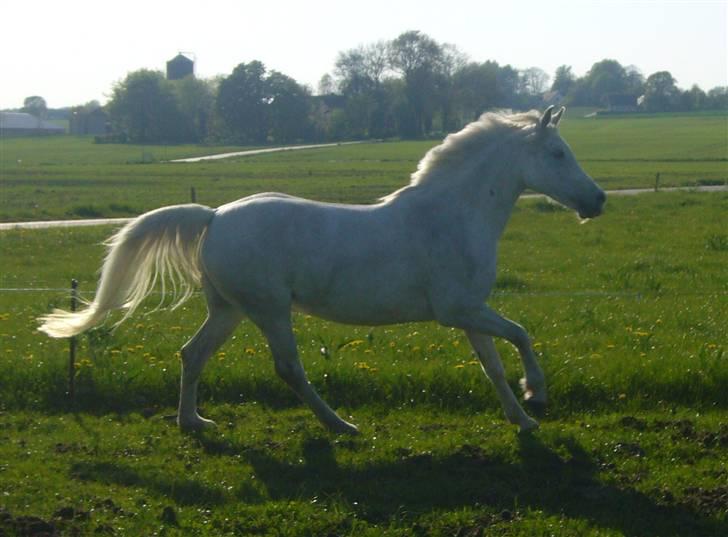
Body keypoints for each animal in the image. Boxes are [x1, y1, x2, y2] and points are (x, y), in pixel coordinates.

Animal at [41, 107, 608, 434]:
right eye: (558, 152)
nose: (597, 200)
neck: (451, 215)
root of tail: (216, 215)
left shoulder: (469, 312)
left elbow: (493, 364)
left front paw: (523, 419)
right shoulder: (459, 310)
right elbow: (522, 335)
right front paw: (538, 392)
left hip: (230, 310)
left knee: (191, 355)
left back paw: (194, 423)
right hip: (269, 310)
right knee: (289, 368)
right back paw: (341, 426)